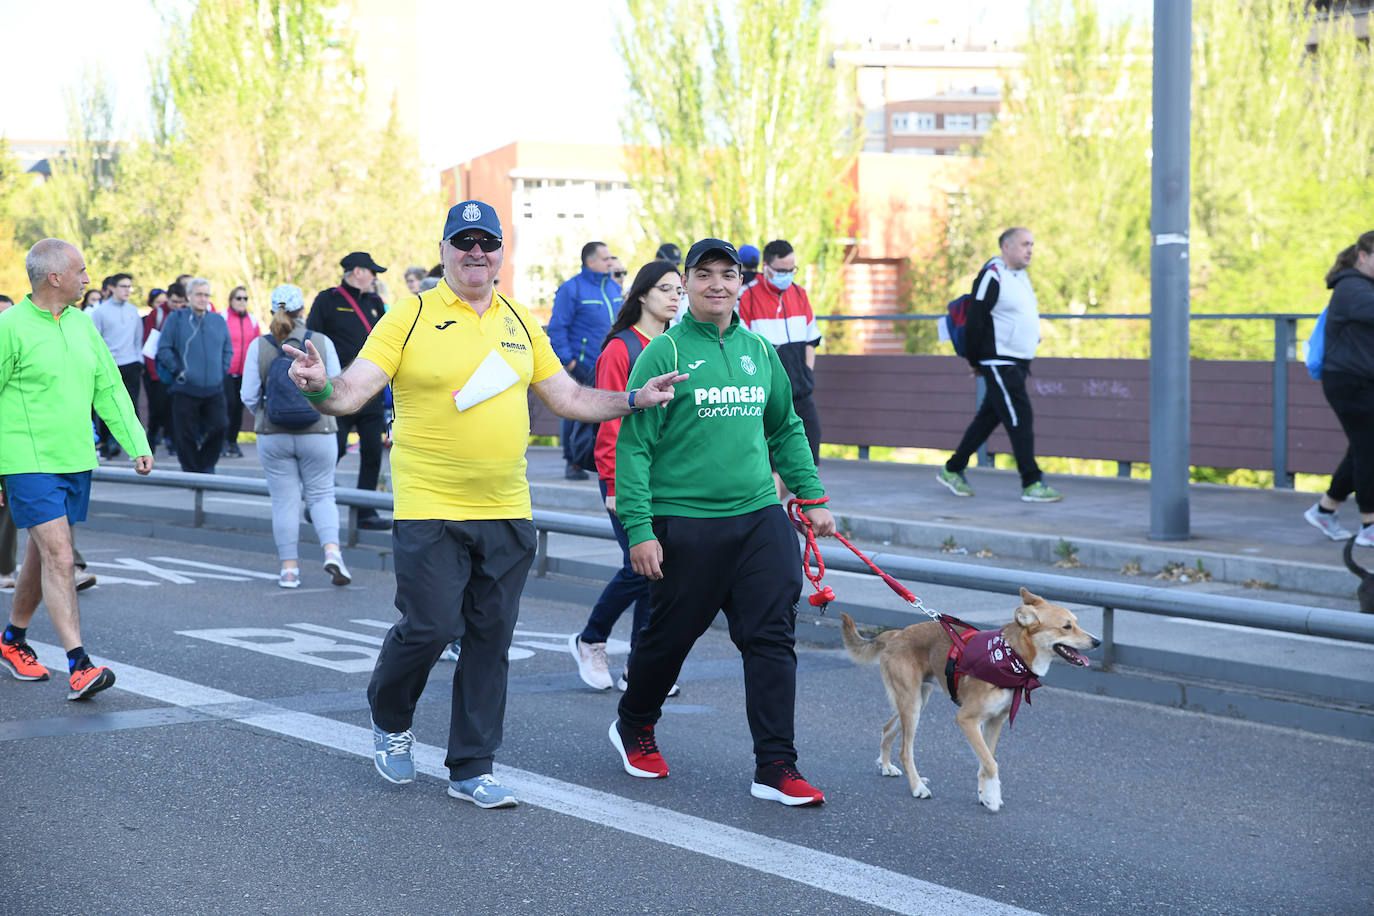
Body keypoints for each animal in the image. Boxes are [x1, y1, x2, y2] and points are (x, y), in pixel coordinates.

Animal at [829, 587, 1099, 807]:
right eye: (1067, 626)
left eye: (1076, 622)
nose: (1097, 641)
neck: (1010, 657)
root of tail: (896, 634)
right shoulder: (966, 719)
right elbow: (991, 763)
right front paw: (993, 798)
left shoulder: (994, 721)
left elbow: (985, 761)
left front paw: (985, 795)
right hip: (911, 704)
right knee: (906, 751)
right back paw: (917, 787)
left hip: (917, 700)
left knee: (887, 728)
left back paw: (886, 766)